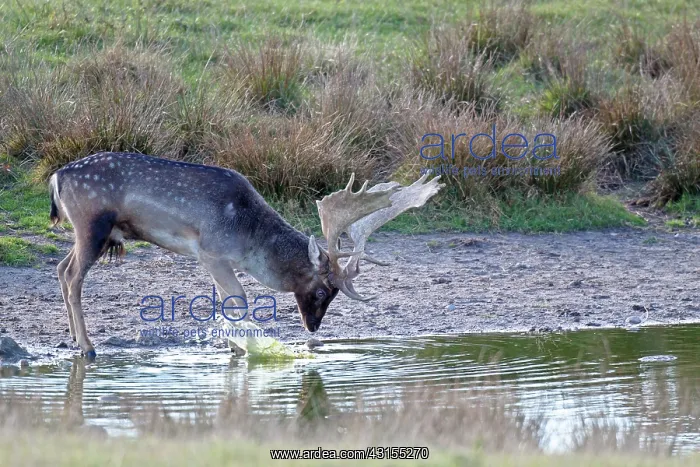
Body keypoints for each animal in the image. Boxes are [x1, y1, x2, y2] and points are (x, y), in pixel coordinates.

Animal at [48, 152, 444, 359]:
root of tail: (56, 177)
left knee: (61, 267)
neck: (249, 239)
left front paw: (235, 346)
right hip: (92, 225)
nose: (313, 326)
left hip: (87, 233)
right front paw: (245, 346)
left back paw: (73, 340)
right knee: (72, 275)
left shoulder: (216, 260)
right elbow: (238, 298)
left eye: (333, 296)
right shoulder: (210, 251)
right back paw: (88, 347)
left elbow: (228, 300)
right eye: (320, 291)